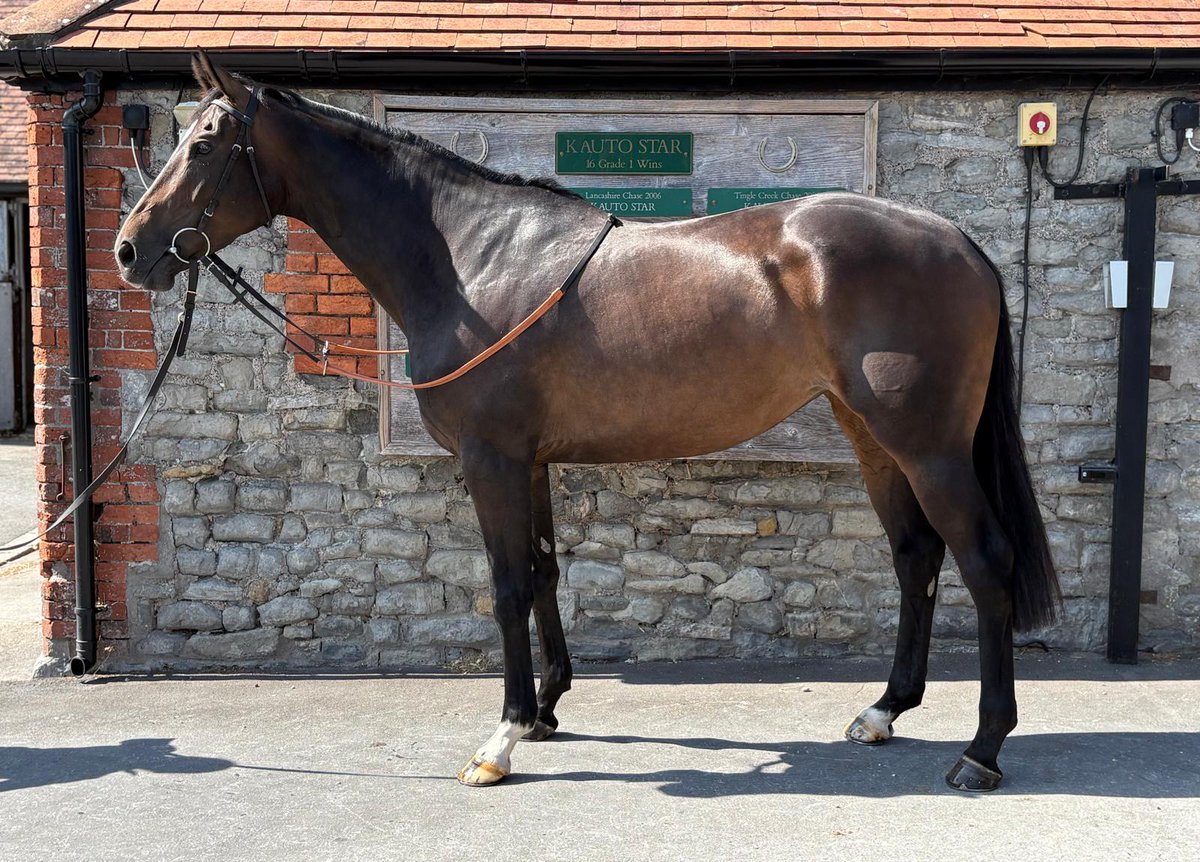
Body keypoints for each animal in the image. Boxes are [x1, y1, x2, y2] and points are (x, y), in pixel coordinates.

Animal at [114, 55, 1058, 793]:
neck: (470, 258)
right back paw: (886, 710)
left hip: (928, 447)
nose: (131, 250)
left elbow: (504, 586)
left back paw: (982, 750)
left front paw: (500, 739)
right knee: (915, 556)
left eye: (205, 144)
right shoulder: (529, 460)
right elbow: (542, 572)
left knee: (984, 560)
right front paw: (545, 712)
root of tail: (959, 240)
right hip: (872, 437)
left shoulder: (491, 460)